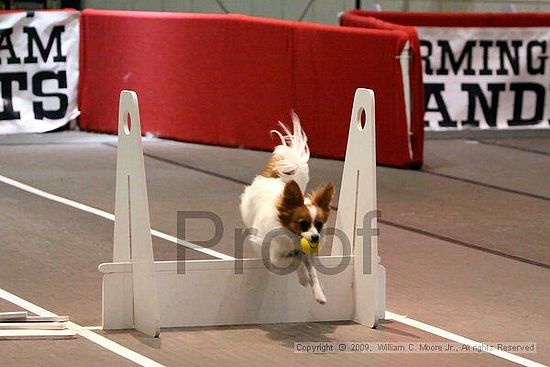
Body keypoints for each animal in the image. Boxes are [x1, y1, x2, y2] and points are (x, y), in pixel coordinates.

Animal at [242, 113, 336, 304]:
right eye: (302, 224)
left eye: (319, 224)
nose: (315, 237)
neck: (294, 238)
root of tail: (273, 178)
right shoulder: (276, 257)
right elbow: (295, 261)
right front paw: (302, 278)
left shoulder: (308, 255)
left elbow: (313, 273)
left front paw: (319, 294)